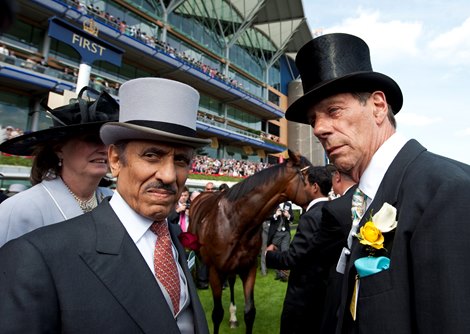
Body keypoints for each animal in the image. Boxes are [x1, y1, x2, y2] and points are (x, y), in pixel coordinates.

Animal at [189, 151, 314, 334]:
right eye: (313, 176)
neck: (235, 221)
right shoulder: (215, 271)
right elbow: (217, 314)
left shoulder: (248, 268)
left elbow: (249, 312)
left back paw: (233, 317)